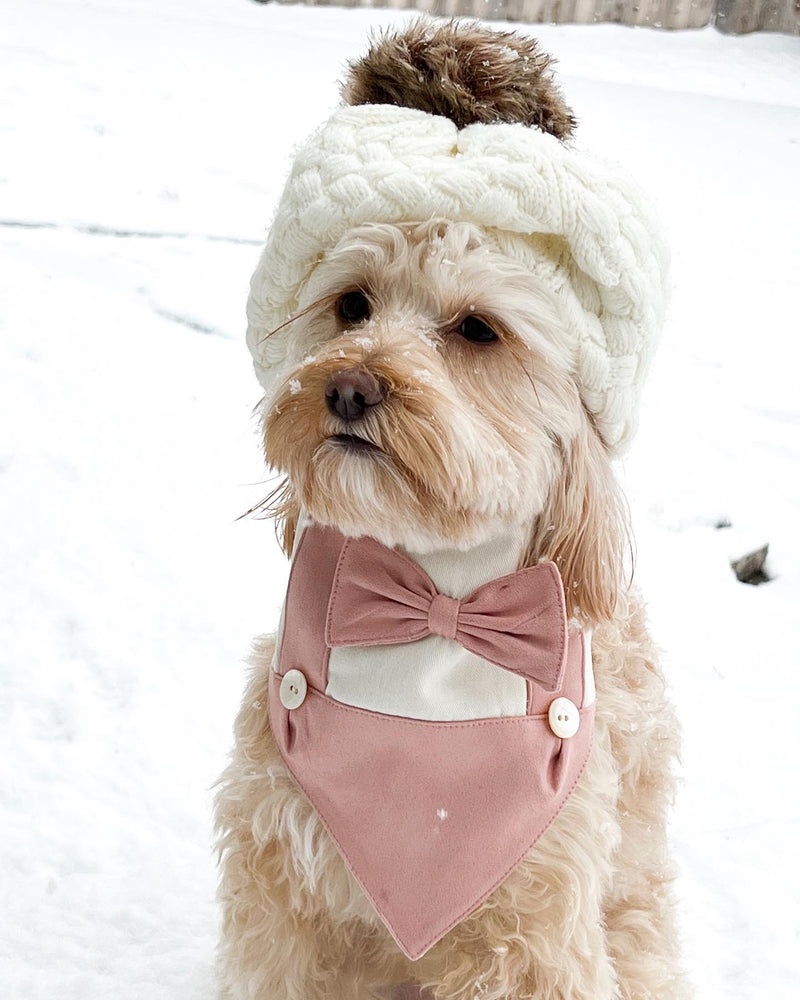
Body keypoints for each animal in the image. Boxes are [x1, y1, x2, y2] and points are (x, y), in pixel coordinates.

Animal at [216, 17, 692, 1000]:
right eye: (351, 304)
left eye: (478, 329)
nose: (349, 389)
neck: (435, 601)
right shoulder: (281, 889)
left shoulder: (534, 928)